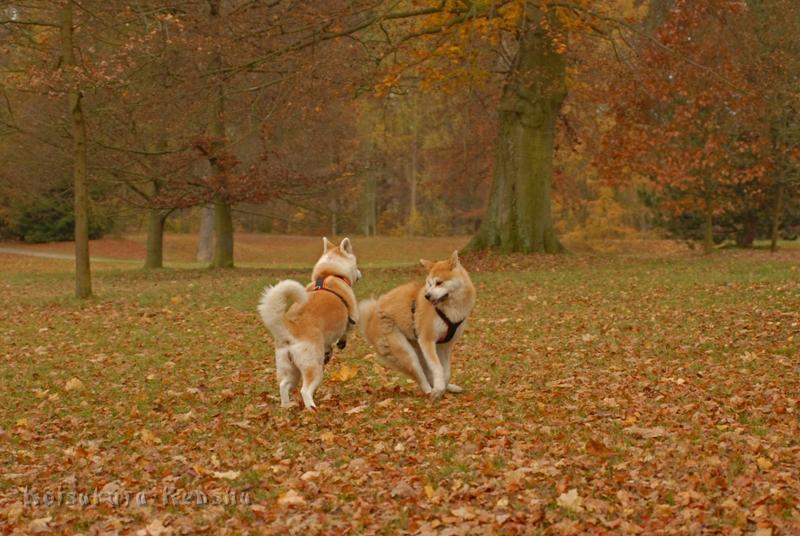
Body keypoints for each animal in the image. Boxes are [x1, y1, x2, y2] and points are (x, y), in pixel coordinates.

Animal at [258, 237, 360, 408]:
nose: (360, 273)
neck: (331, 274)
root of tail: (291, 328)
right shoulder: (352, 319)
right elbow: (346, 331)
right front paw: (341, 343)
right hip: (313, 368)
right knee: (305, 391)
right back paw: (312, 408)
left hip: (290, 369)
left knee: (284, 385)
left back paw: (287, 406)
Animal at [358, 250, 476, 398]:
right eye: (429, 283)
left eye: (439, 283)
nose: (427, 296)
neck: (449, 309)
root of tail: (371, 316)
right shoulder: (427, 340)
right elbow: (438, 368)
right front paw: (439, 389)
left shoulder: (445, 345)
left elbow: (446, 372)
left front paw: (443, 386)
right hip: (407, 353)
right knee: (421, 377)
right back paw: (430, 391)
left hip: (418, 348)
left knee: (427, 373)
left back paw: (449, 388)